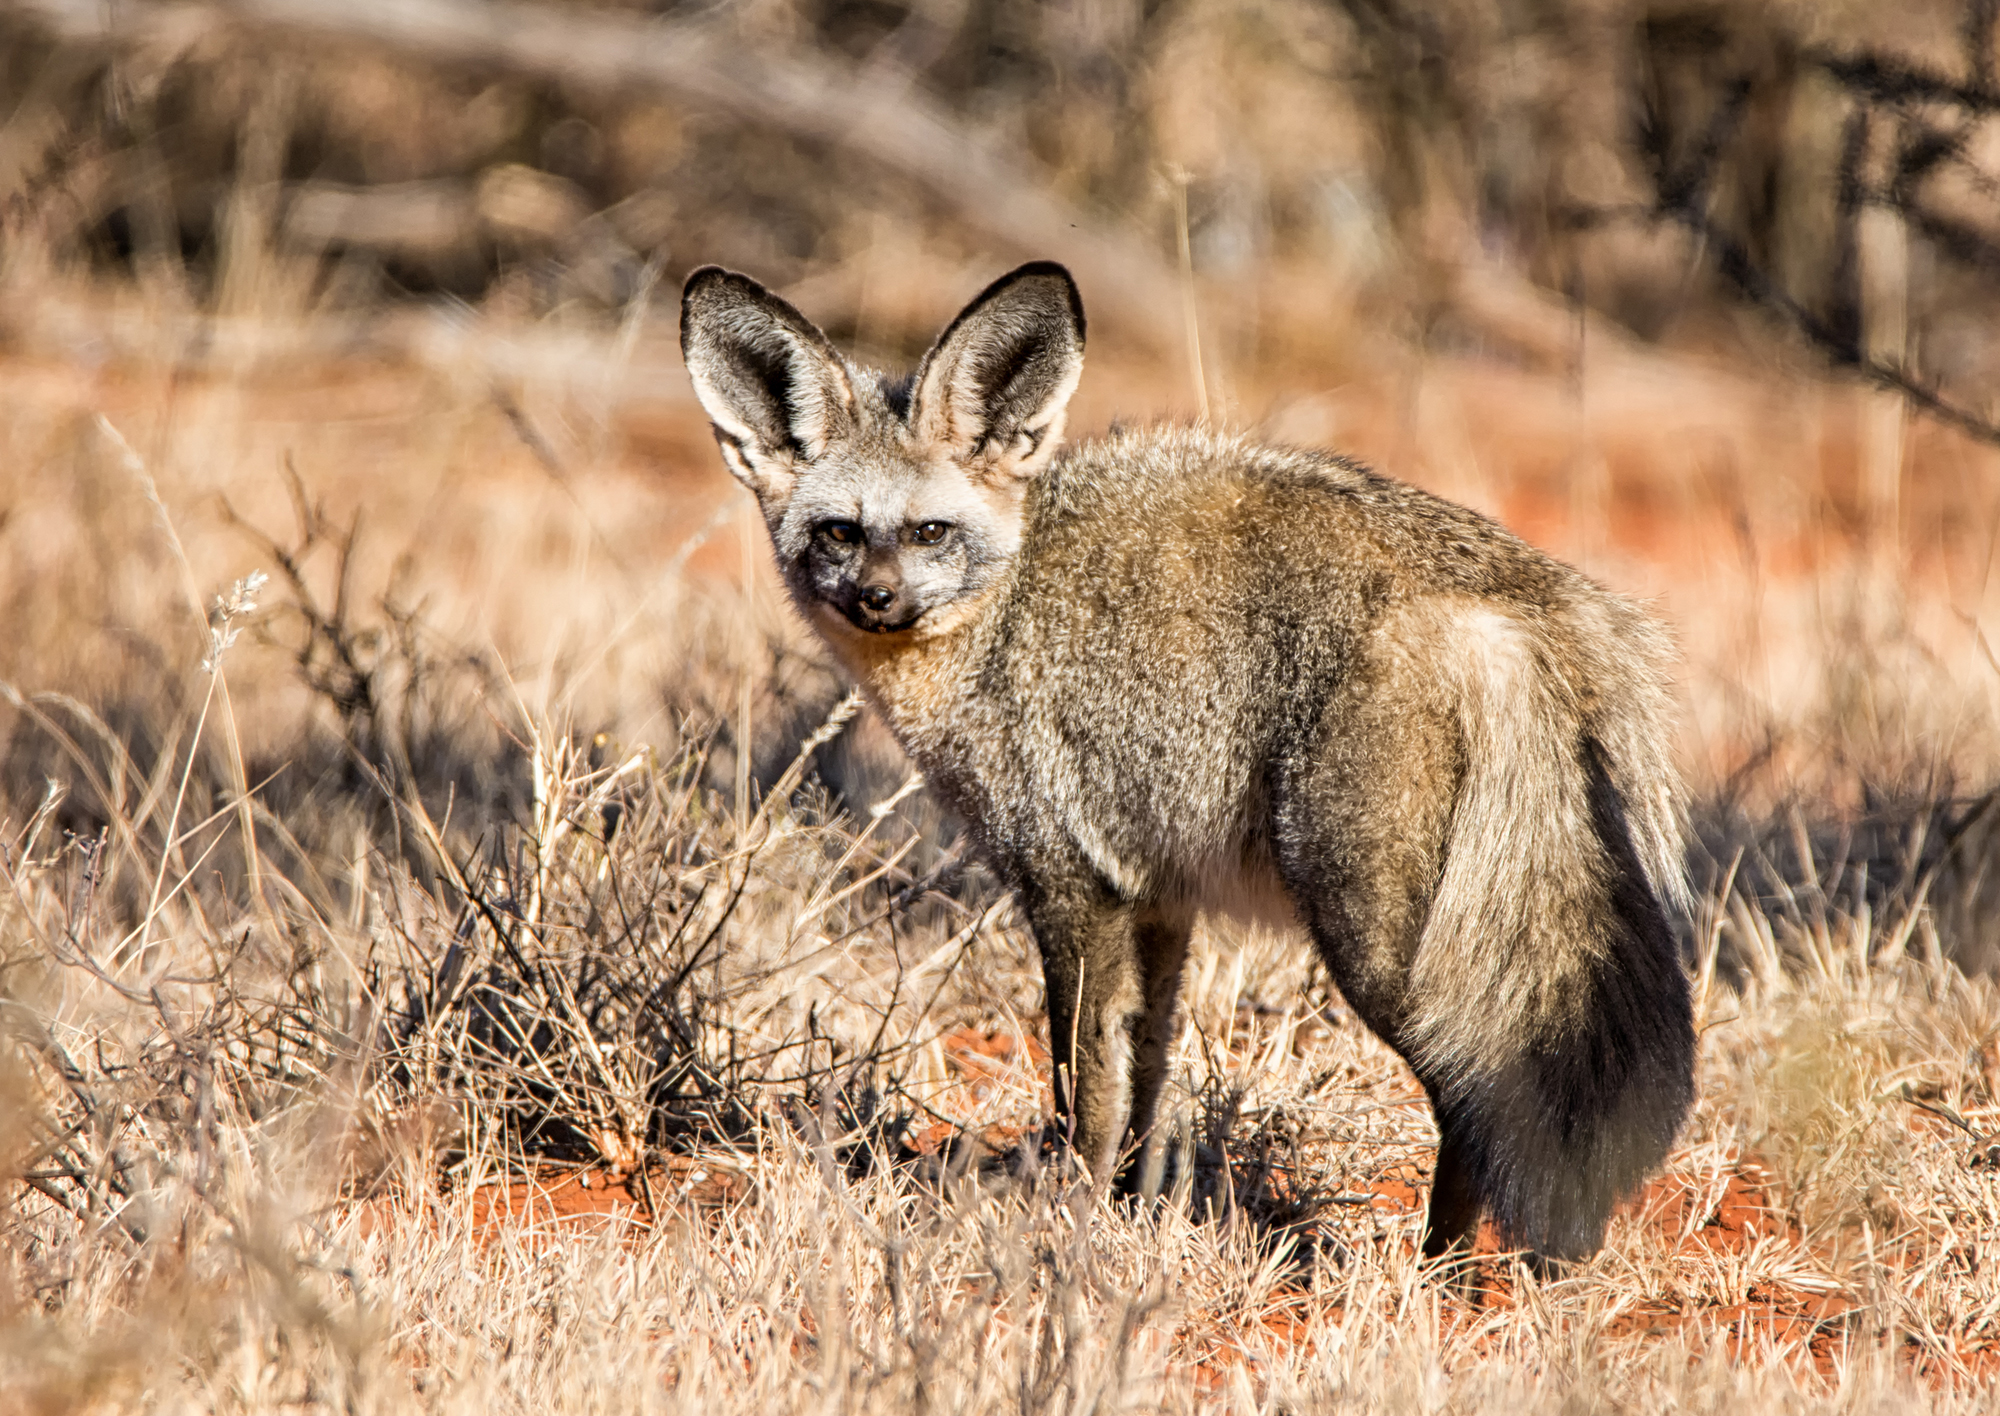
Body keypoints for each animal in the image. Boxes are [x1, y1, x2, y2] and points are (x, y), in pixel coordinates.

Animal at [680, 260, 1696, 1264]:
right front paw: (1132, 1211)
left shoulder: (1068, 888)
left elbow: (1084, 1089)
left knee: (1468, 1090)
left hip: (1372, 940)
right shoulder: (1159, 897)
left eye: (929, 532)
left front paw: (1070, 1220)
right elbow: (1146, 1077)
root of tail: (1514, 596)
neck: (1000, 617)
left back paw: (1439, 1274)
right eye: (840, 533)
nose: (877, 600)